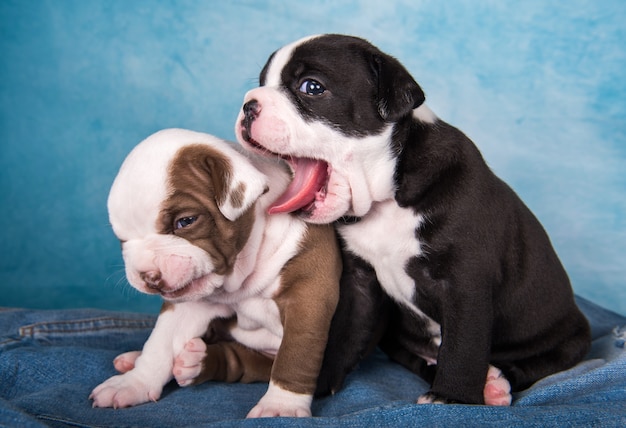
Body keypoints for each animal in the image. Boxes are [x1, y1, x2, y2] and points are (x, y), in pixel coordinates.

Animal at [88, 129, 342, 416]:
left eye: (185, 221)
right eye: (122, 238)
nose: (148, 276)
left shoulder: (308, 298)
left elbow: (297, 353)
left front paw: (281, 407)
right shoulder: (189, 304)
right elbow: (160, 342)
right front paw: (134, 383)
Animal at [234, 35, 588, 406]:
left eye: (311, 87)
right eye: (262, 83)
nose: (249, 105)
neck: (389, 194)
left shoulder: (466, 286)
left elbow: (464, 348)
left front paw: (452, 398)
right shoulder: (359, 284)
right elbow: (342, 333)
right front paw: (314, 385)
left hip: (569, 341)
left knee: (533, 365)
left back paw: (494, 384)